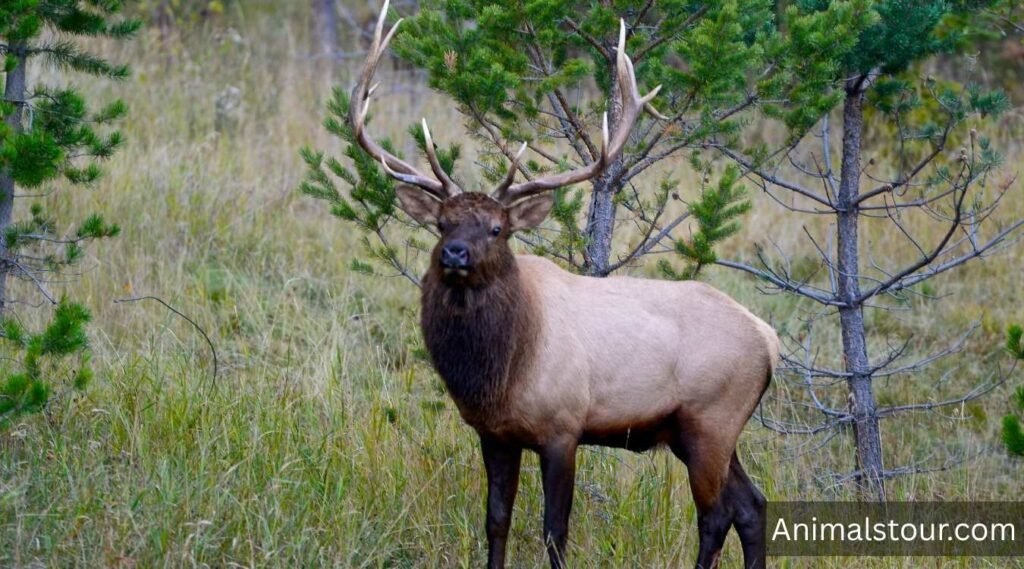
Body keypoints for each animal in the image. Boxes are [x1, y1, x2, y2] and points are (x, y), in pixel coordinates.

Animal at [348, 3, 780, 568]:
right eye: (441, 223)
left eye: (497, 228)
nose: (455, 253)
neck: (501, 370)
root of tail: (770, 342)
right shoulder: (495, 434)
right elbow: (496, 521)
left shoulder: (564, 426)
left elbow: (555, 531)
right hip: (699, 430)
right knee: (752, 504)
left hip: (712, 416)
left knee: (717, 515)